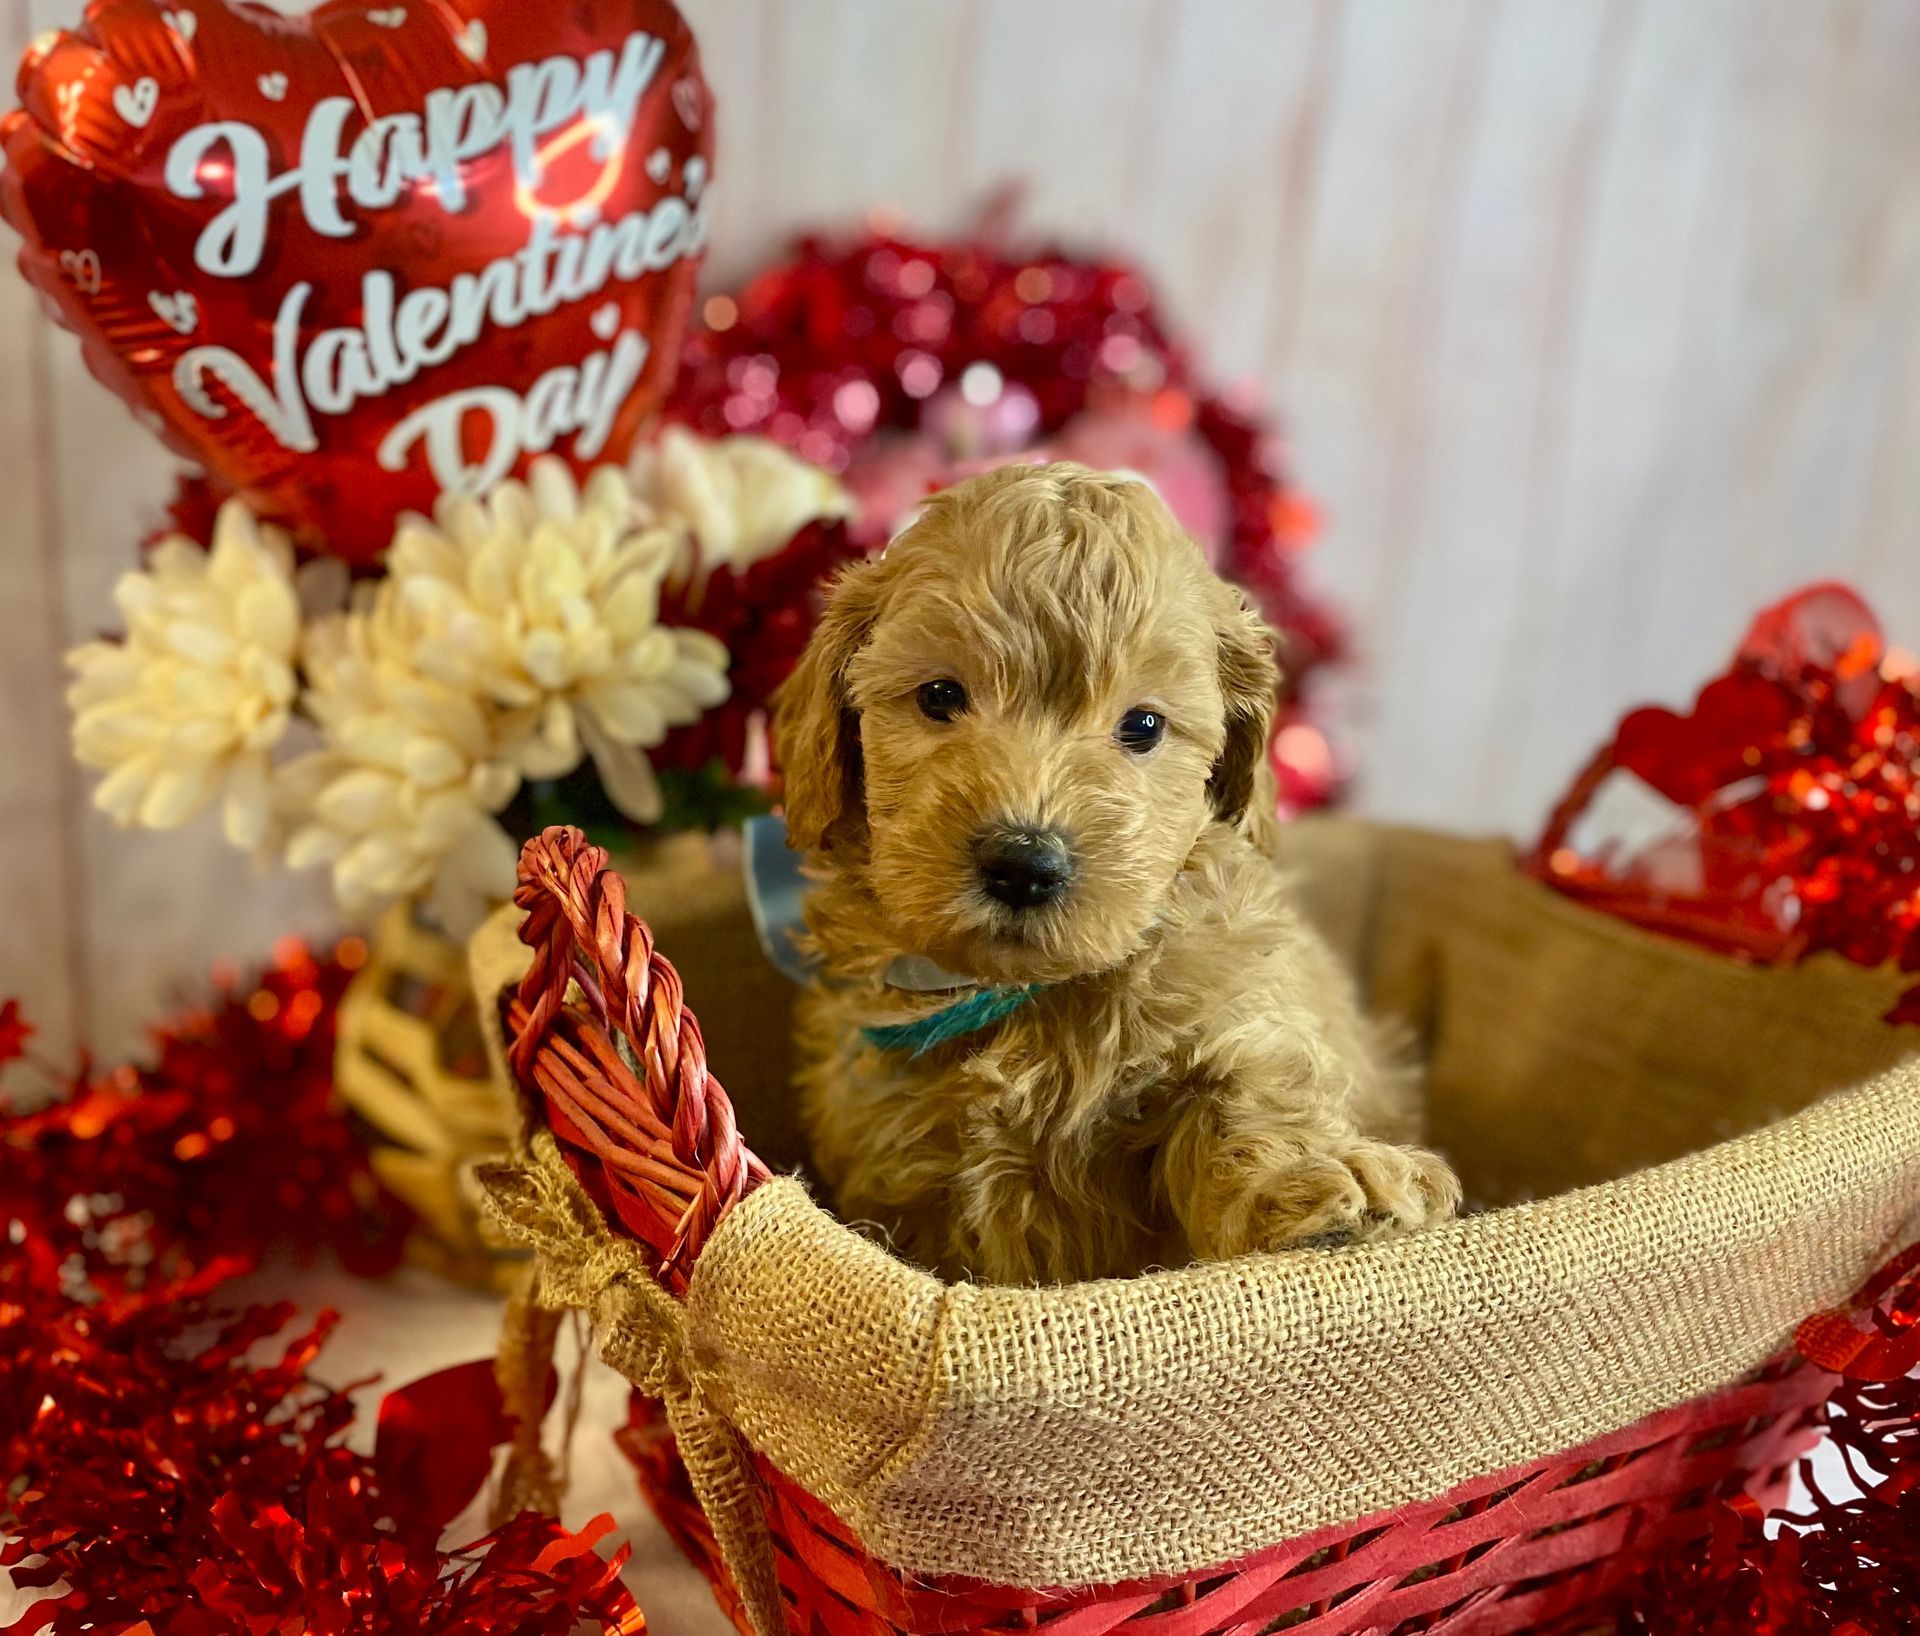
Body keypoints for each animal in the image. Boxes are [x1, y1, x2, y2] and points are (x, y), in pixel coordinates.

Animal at [771, 457, 1443, 1275]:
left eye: (1144, 726)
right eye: (939, 695)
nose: (1024, 864)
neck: (1031, 998)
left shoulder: (1239, 1016)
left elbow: (1247, 1097)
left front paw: (1322, 1185)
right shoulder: (892, 1151)